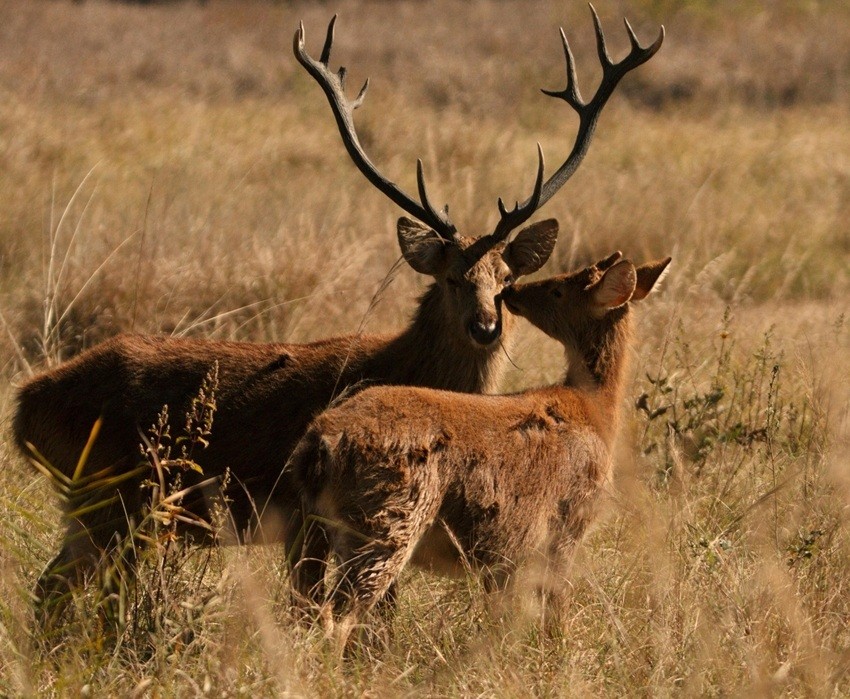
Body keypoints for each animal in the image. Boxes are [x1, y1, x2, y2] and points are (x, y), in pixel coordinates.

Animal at [289, 252, 671, 652]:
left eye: (558, 289)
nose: (512, 291)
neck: (595, 410)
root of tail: (320, 441)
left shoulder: (510, 557)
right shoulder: (567, 525)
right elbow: (556, 607)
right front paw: (558, 652)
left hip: (327, 527)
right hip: (388, 523)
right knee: (338, 614)